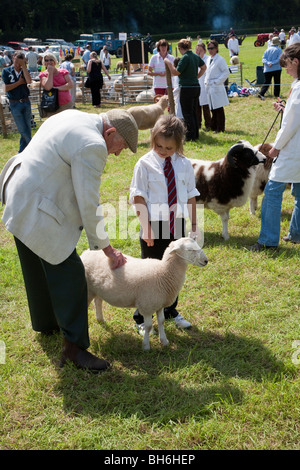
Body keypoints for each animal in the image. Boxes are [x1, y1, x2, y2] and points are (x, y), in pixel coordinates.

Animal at [81, 239, 210, 348]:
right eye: (190, 250)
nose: (206, 261)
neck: (164, 272)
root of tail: (86, 252)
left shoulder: (159, 304)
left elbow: (161, 321)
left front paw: (164, 341)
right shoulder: (147, 306)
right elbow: (148, 327)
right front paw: (146, 345)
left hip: (97, 289)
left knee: (98, 302)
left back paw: (100, 320)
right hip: (88, 290)